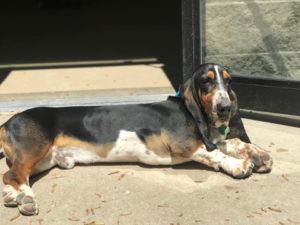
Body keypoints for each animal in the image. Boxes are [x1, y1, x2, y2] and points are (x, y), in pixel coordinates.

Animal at [0, 62, 272, 214]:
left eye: (229, 81)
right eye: (206, 81)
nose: (225, 108)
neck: (187, 109)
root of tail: (6, 123)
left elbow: (232, 143)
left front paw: (258, 154)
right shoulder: (185, 145)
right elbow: (214, 153)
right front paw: (238, 165)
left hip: (45, 160)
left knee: (13, 175)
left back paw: (14, 196)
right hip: (34, 148)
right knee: (13, 174)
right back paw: (26, 198)